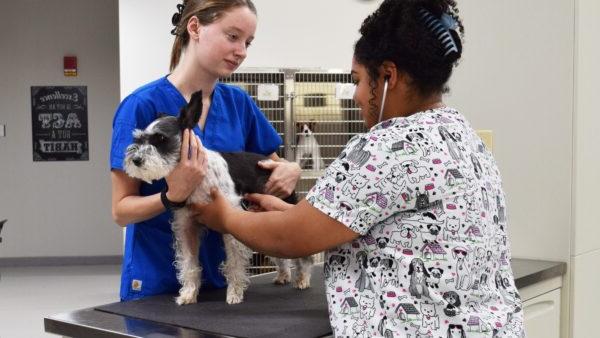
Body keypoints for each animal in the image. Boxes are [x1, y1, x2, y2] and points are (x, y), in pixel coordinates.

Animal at [126, 91, 314, 304]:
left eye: (161, 138)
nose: (136, 160)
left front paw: (234, 293)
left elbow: (234, 264)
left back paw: (303, 278)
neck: (200, 176)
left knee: (303, 257)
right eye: (139, 139)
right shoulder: (187, 227)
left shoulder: (231, 224)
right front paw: (189, 293)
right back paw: (283, 275)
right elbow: (189, 264)